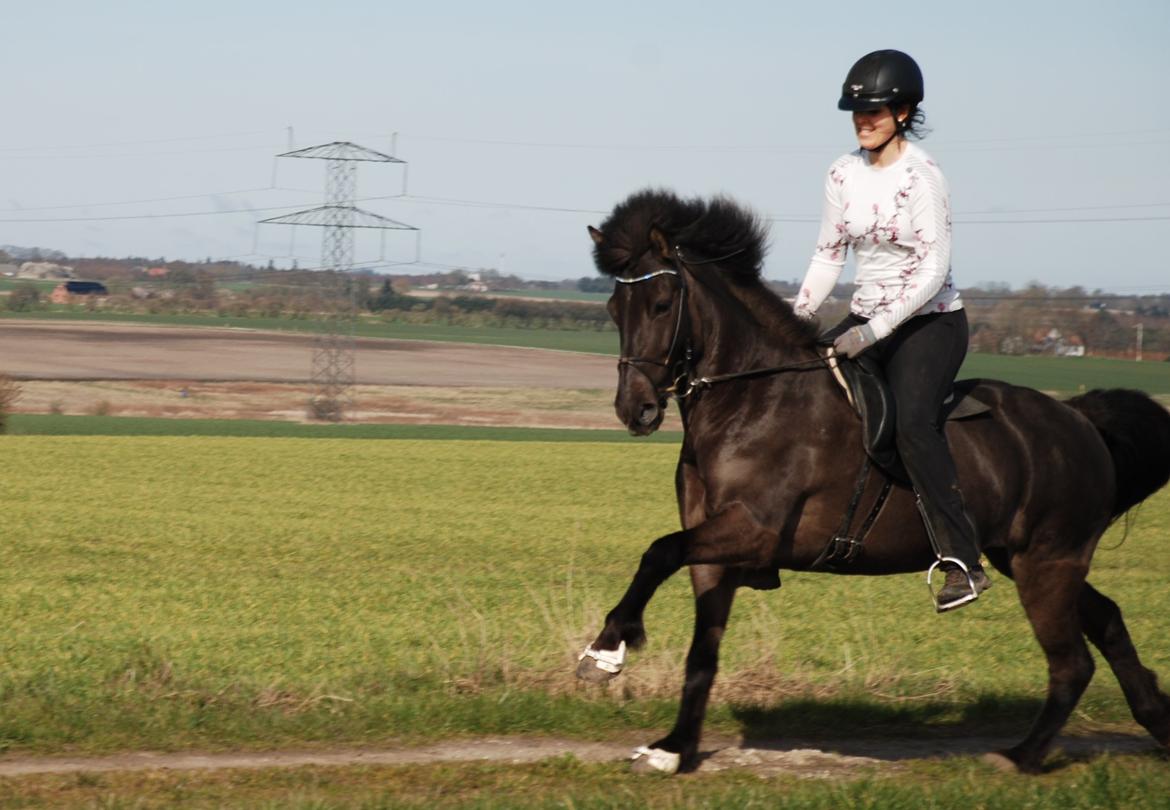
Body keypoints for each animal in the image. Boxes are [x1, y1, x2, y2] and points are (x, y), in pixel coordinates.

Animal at [577, 188, 1170, 772]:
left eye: (661, 304)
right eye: (612, 309)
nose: (636, 409)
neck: (751, 398)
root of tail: (1079, 420)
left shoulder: (752, 530)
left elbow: (658, 552)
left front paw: (606, 649)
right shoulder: (714, 550)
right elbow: (700, 651)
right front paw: (675, 747)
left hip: (1046, 563)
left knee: (1072, 662)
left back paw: (1020, 756)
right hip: (1027, 557)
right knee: (1107, 620)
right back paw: (1154, 720)